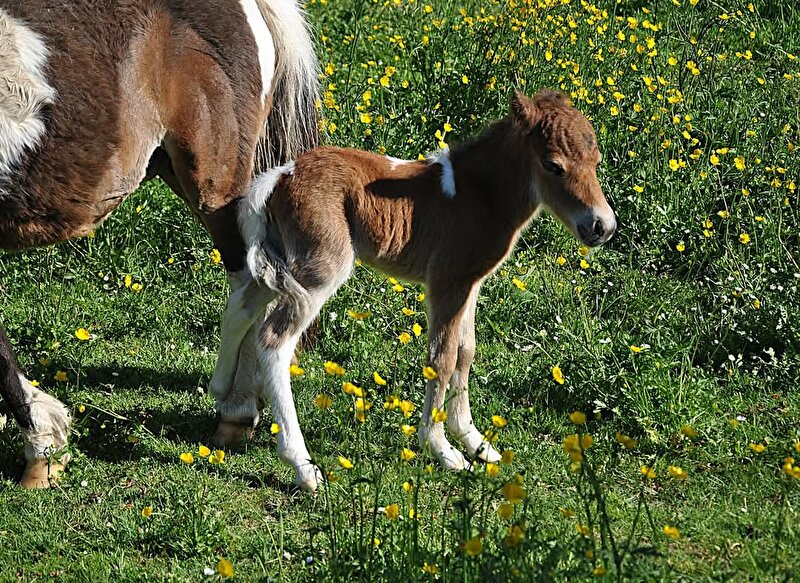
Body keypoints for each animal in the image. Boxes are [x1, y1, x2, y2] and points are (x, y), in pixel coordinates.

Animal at [210, 89, 617, 491]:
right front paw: (443, 449)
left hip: (283, 261)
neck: (480, 194)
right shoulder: (447, 282)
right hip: (320, 269)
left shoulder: (470, 284)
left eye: (597, 160)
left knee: (240, 305)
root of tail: (281, 175)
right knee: (273, 339)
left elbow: (466, 352)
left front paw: (476, 442)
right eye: (553, 165)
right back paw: (302, 465)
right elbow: (442, 358)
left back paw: (221, 390)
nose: (602, 227)